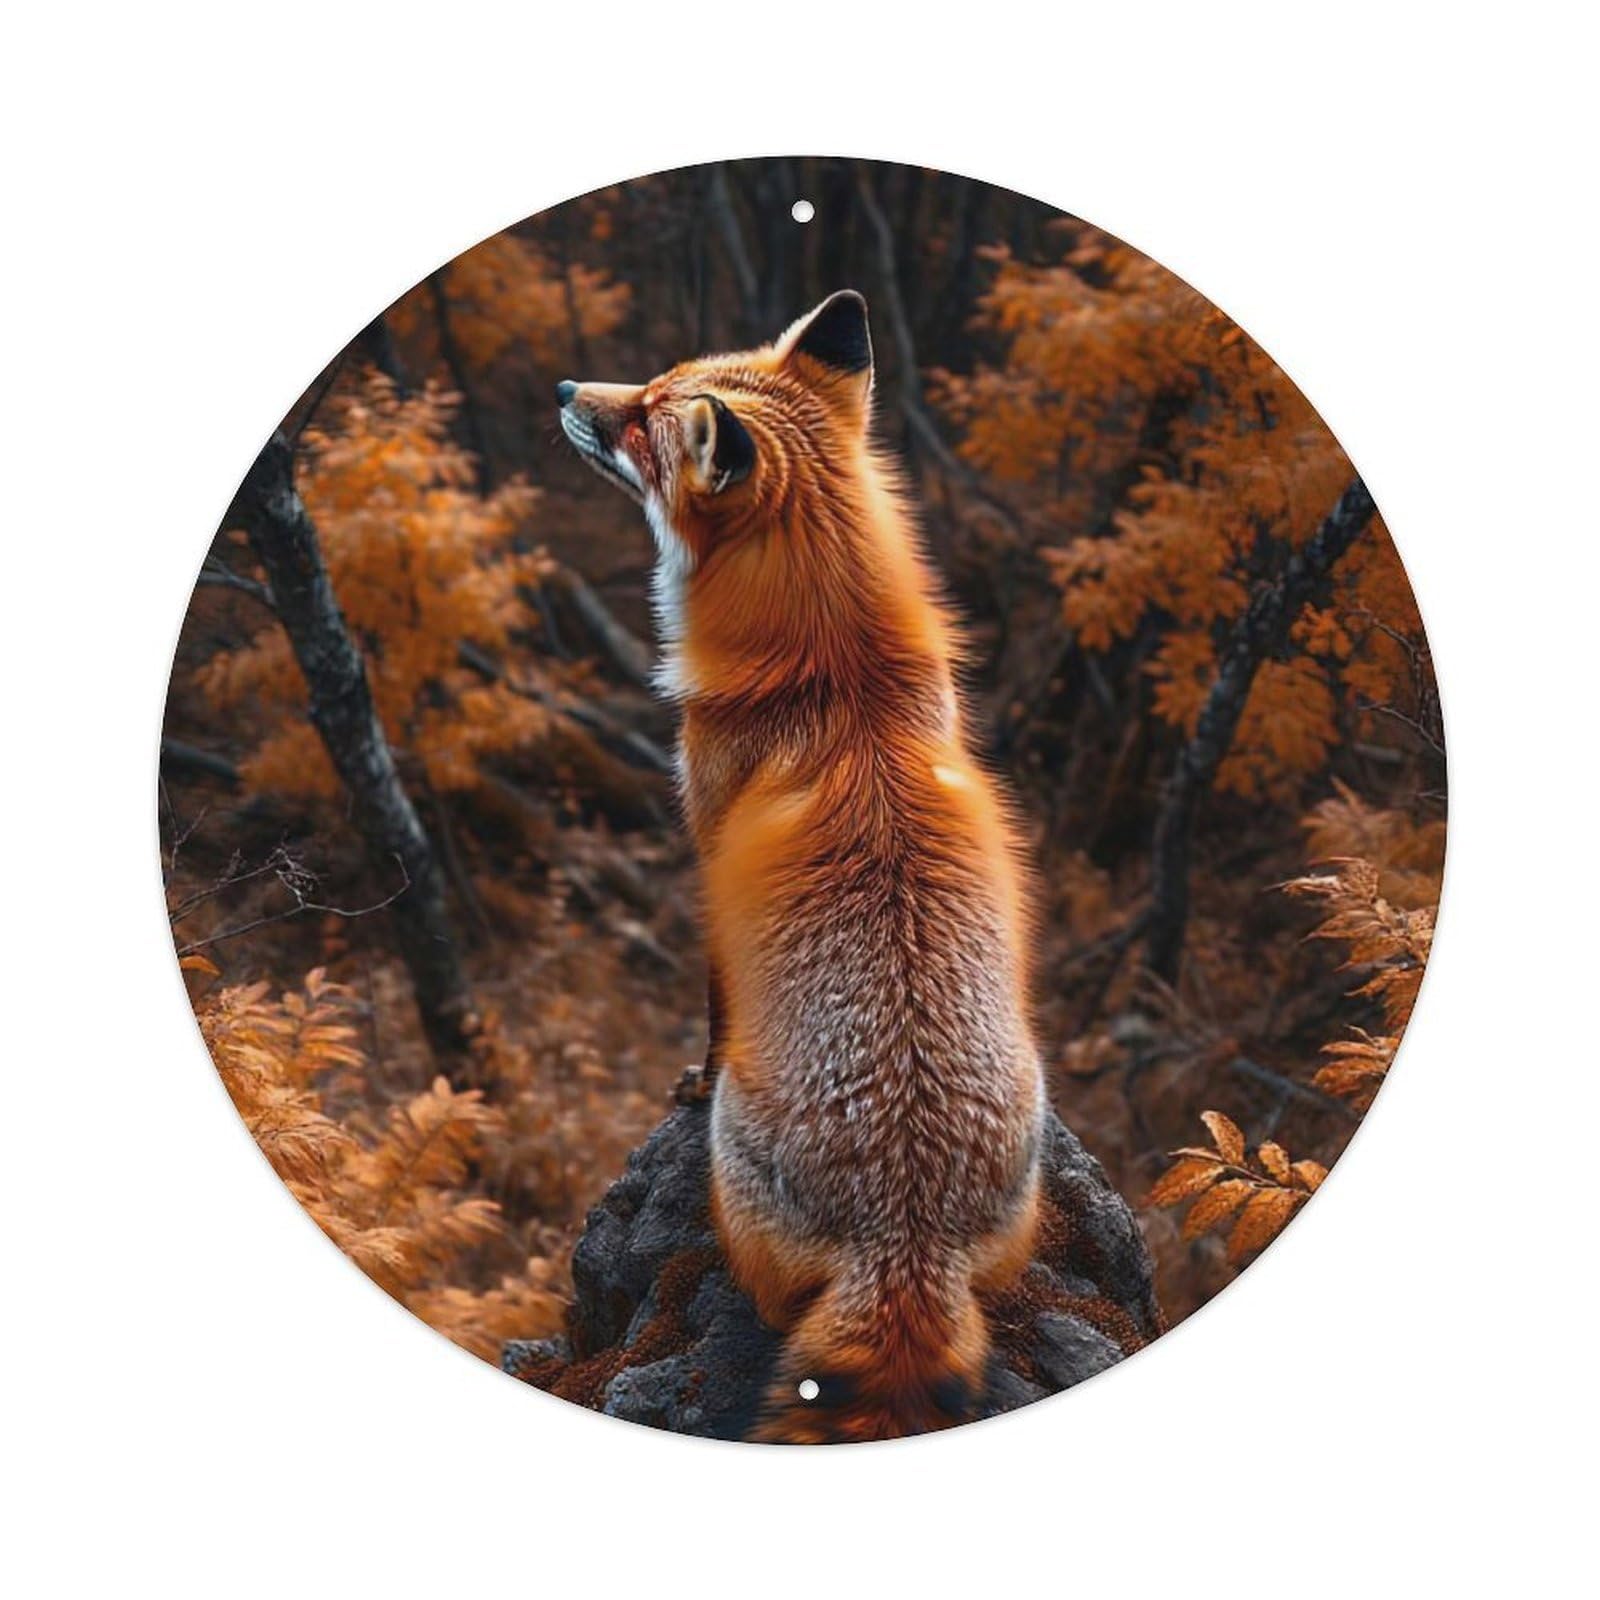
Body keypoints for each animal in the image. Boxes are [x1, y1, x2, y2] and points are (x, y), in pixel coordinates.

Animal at [555, 290, 1044, 1443]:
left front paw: (685, 1076)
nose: (563, 391)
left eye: (640, 417)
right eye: (652, 382)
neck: (838, 676)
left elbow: (711, 1005)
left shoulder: (705, 850)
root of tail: (905, 1244)